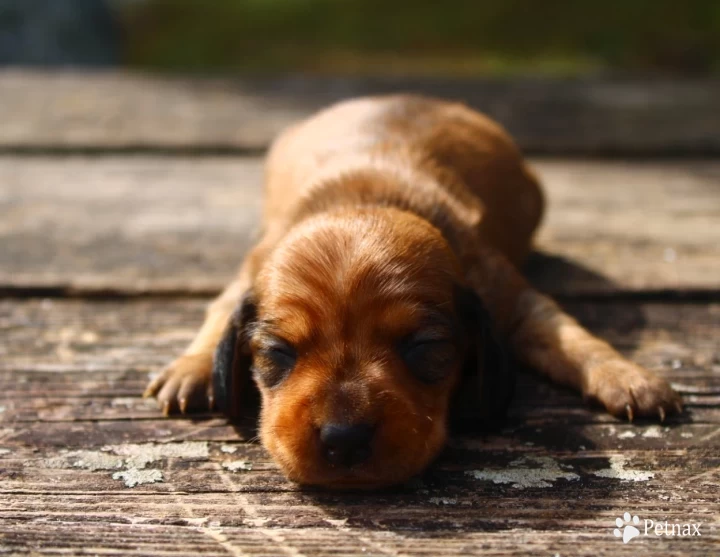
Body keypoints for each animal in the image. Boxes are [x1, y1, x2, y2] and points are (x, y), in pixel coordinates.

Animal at [143, 94, 684, 486]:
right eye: (278, 351)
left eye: (424, 347)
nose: (344, 440)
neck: (367, 197)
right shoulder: (246, 273)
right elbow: (218, 313)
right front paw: (191, 369)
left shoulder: (508, 295)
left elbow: (569, 335)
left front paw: (628, 377)